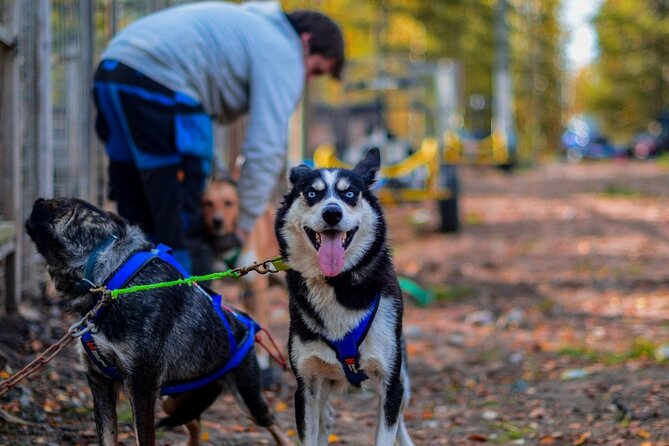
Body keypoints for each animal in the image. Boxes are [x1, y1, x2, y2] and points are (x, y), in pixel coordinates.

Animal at [24, 199, 290, 446]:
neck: (113, 279)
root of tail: (247, 324)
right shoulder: (100, 383)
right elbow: (107, 438)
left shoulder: (141, 386)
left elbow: (144, 438)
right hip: (172, 402)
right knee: (194, 424)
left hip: (248, 400)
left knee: (275, 425)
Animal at [272, 150, 412, 446]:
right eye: (312, 194)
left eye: (349, 194)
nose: (332, 213)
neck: (336, 283)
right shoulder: (306, 386)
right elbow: (309, 435)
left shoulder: (391, 382)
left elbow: (387, 432)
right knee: (327, 418)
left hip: (403, 382)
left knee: (400, 422)